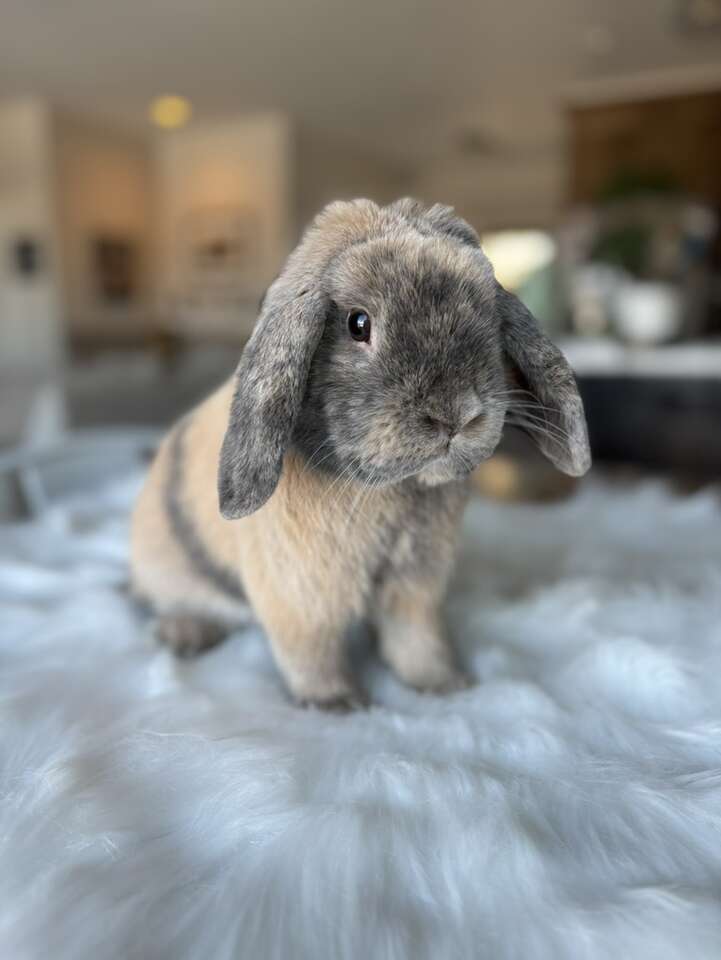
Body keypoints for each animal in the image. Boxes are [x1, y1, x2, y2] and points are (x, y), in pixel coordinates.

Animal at [131, 199, 592, 708]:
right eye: (358, 323)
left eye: (489, 318)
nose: (456, 416)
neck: (394, 490)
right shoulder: (303, 595)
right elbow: (311, 652)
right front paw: (339, 705)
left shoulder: (414, 587)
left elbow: (416, 641)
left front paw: (445, 686)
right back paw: (185, 633)